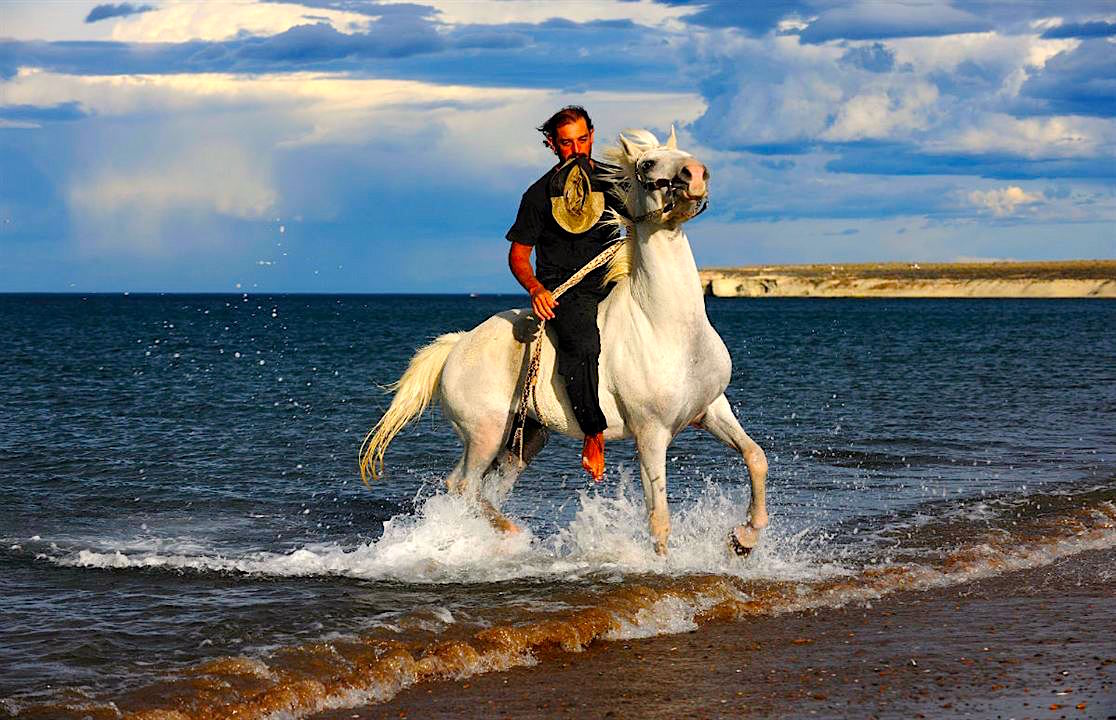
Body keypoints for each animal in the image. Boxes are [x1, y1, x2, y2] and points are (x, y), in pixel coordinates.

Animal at [361, 128, 772, 555]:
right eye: (647, 165)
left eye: (683, 152)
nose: (696, 174)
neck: (667, 326)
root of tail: (457, 346)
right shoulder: (651, 434)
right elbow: (659, 519)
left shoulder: (711, 409)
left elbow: (755, 457)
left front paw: (745, 536)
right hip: (485, 434)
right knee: (464, 486)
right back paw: (513, 533)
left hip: (523, 438)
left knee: (478, 488)